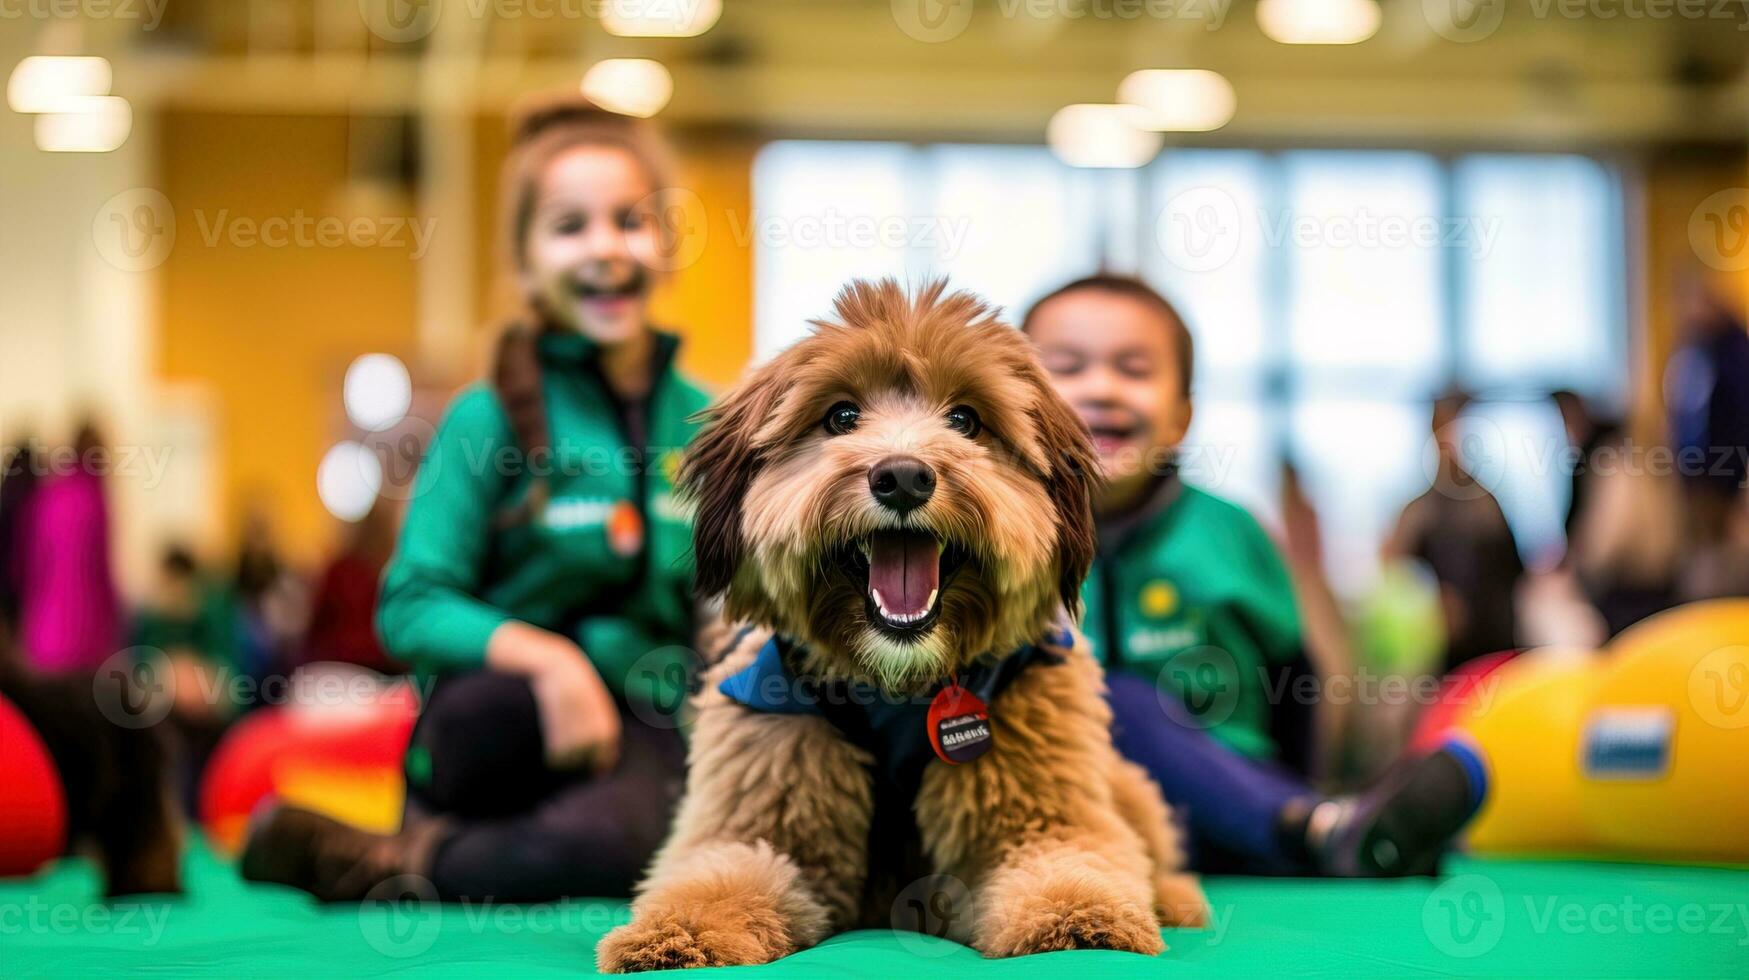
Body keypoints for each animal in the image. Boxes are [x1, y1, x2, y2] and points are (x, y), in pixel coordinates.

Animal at [594, 280, 1210, 966]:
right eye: (841, 417)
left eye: (965, 420)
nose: (904, 477)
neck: (900, 682)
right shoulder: (762, 806)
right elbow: (723, 872)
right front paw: (677, 933)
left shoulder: (1043, 809)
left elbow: (1069, 858)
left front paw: (1081, 919)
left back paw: (1176, 897)